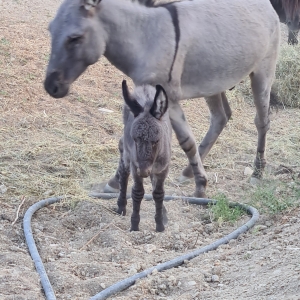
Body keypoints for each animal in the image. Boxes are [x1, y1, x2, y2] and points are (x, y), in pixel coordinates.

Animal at [116, 79, 170, 232]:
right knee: (123, 168)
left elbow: (159, 194)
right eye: (135, 139)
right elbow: (137, 193)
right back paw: (121, 206)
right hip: (127, 154)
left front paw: (160, 225)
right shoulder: (135, 166)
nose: (144, 171)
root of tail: (144, 87)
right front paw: (134, 226)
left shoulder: (163, 168)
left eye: (156, 141)